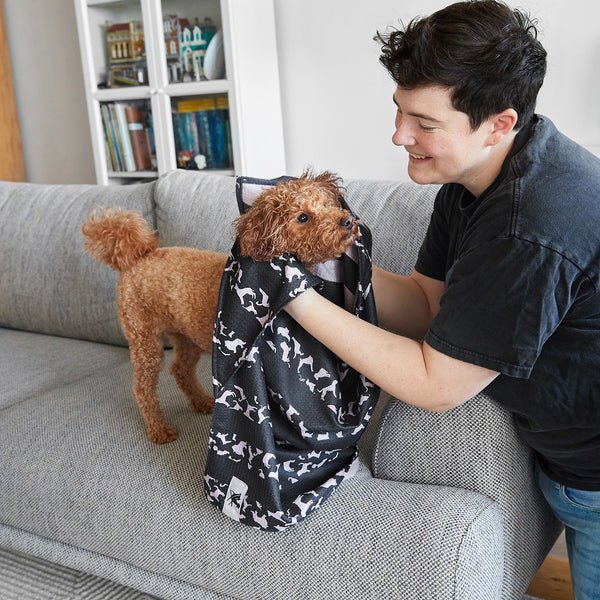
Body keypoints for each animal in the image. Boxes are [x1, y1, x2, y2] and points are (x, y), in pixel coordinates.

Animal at [82, 171, 358, 442]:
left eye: (326, 205)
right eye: (303, 217)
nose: (347, 221)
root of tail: (137, 257)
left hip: (186, 337)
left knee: (181, 370)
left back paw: (202, 402)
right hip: (144, 338)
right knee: (142, 388)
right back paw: (159, 428)